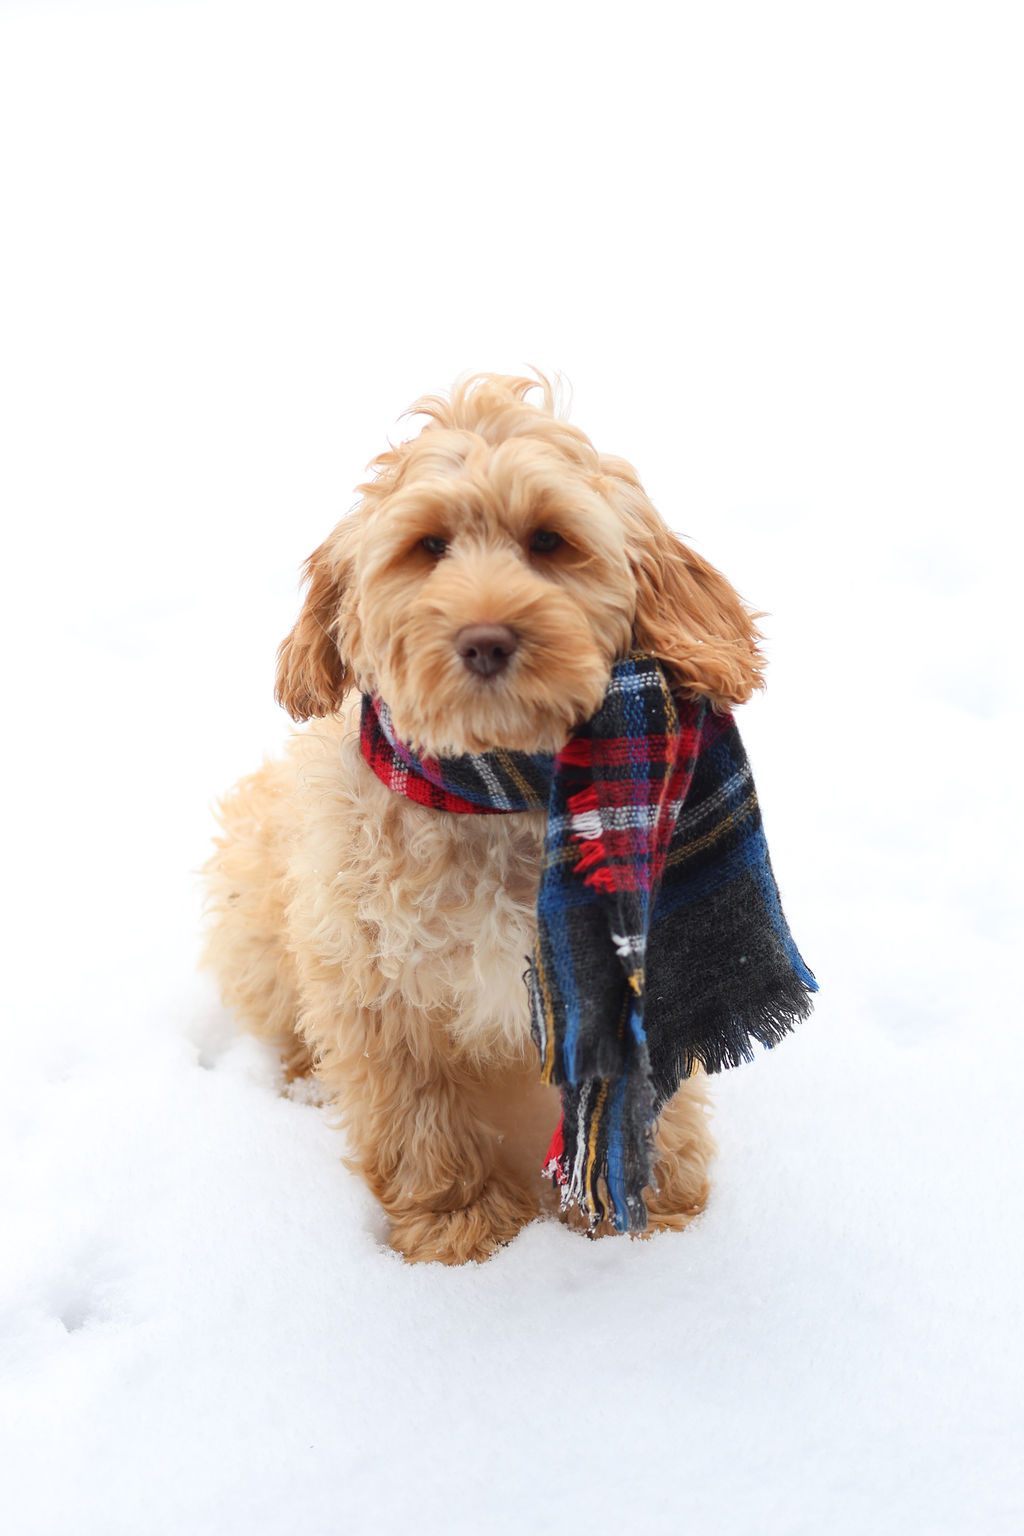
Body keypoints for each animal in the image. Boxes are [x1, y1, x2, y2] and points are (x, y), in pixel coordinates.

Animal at [204, 371, 764, 1259]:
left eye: (549, 540)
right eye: (428, 546)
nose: (486, 639)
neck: (497, 793)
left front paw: (661, 1215)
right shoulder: (374, 989)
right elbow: (416, 1119)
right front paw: (457, 1228)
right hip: (258, 914)